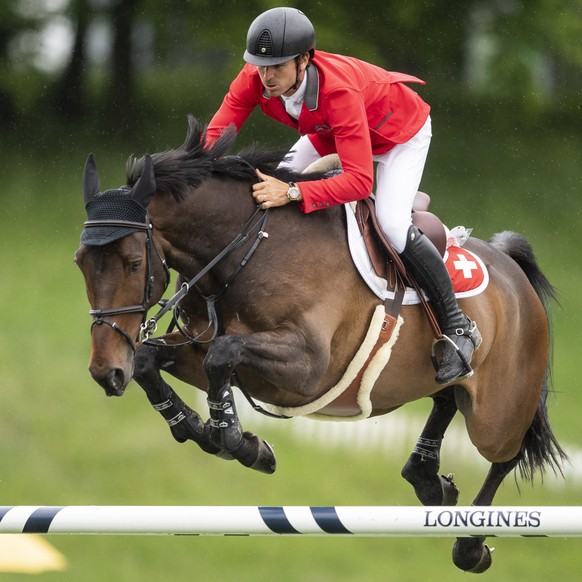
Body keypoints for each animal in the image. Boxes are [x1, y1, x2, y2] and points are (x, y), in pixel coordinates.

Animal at [75, 115, 568, 576]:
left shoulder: (307, 368)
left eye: (133, 262)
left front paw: (236, 440)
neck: (247, 250)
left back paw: (470, 545)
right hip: (447, 381)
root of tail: (511, 267)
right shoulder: (215, 355)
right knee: (446, 396)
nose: (105, 372)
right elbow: (150, 359)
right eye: (80, 262)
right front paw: (205, 431)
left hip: (496, 414)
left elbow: (223, 355)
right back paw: (430, 480)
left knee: (506, 454)